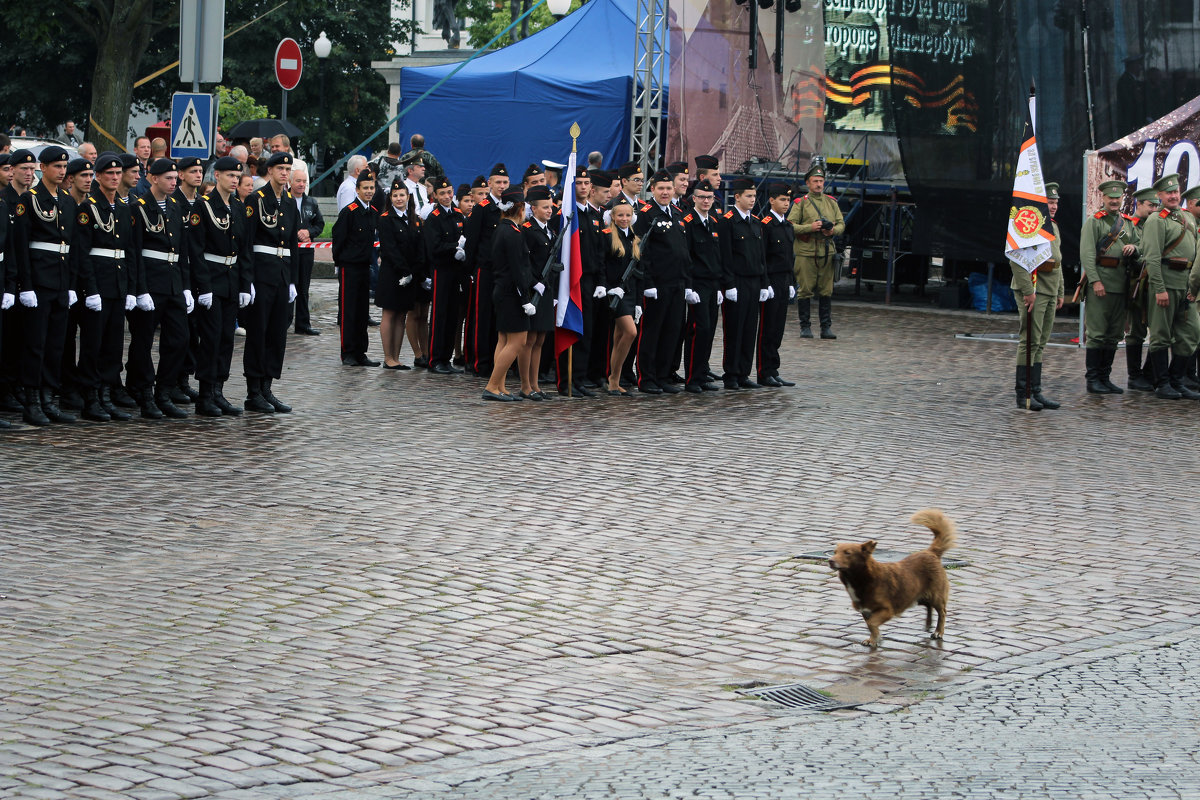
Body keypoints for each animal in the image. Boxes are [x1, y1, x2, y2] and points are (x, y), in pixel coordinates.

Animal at [825, 510, 955, 647]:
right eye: (834, 552)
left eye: (847, 553)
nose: (830, 561)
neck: (863, 578)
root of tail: (931, 552)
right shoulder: (866, 611)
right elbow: (870, 625)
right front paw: (874, 638)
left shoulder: (887, 610)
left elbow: (872, 623)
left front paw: (874, 639)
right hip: (916, 595)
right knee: (928, 606)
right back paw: (928, 624)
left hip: (936, 596)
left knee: (942, 612)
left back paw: (938, 632)